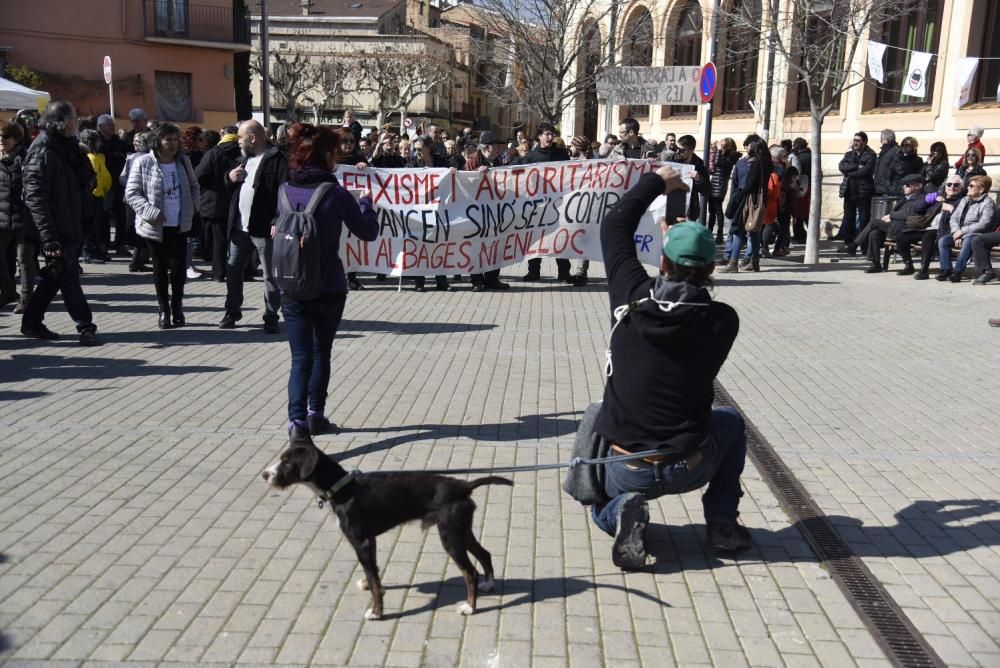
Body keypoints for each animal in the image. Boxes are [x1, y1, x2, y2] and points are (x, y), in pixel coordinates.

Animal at [262, 438, 512, 620]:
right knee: (484, 553)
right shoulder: (367, 542)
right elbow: (372, 573)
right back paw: (489, 584)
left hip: (450, 537)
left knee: (470, 572)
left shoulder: (361, 541)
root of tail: (463, 485)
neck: (342, 489)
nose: (265, 474)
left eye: (287, 461)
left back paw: (470, 607)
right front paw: (369, 587)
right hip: (461, 531)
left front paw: (376, 612)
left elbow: (374, 580)